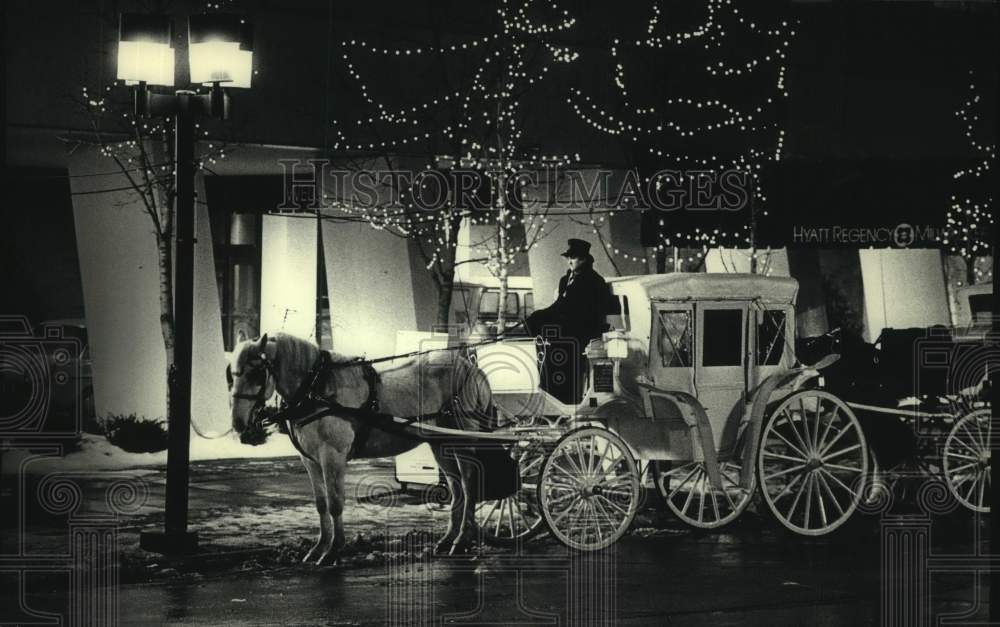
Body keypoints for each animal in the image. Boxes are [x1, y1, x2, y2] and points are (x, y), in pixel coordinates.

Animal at [227, 334, 492, 564]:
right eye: (232, 374)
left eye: (256, 372)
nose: (238, 423)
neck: (317, 389)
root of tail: (470, 367)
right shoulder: (310, 460)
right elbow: (321, 503)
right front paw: (319, 548)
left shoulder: (332, 456)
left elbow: (335, 502)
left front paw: (333, 551)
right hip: (439, 443)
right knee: (456, 487)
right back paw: (448, 540)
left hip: (461, 441)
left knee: (468, 485)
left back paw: (462, 539)